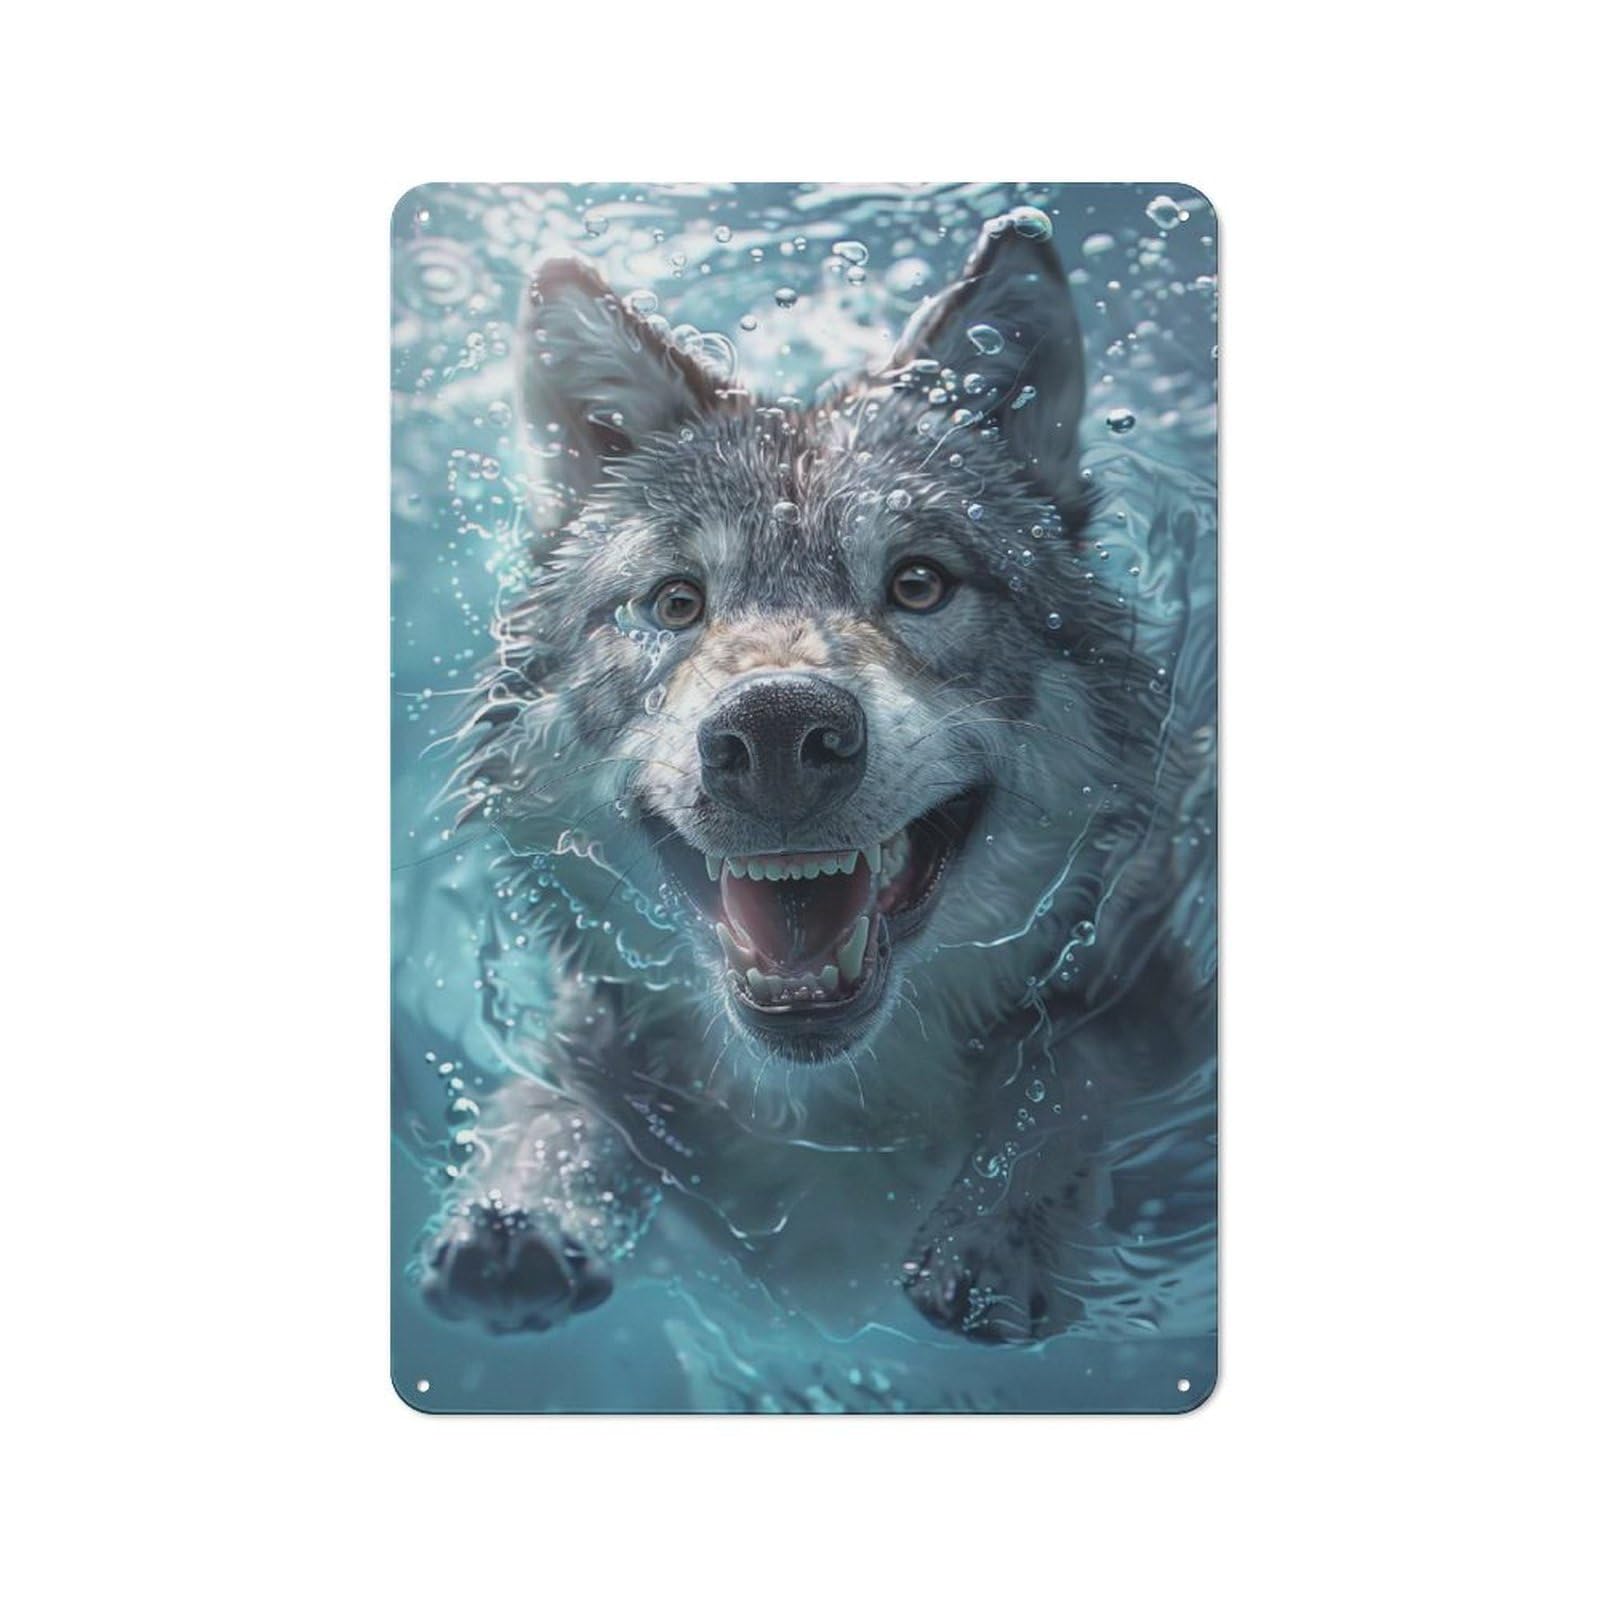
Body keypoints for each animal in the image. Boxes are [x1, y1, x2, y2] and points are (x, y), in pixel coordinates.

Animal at [418, 208, 1217, 1350]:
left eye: (919, 584)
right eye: (674, 603)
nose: (777, 728)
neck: (833, 1120)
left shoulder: (1152, 973)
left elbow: (1069, 1075)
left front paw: (997, 1231)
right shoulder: (598, 1007)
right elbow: (563, 1085)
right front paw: (522, 1207)